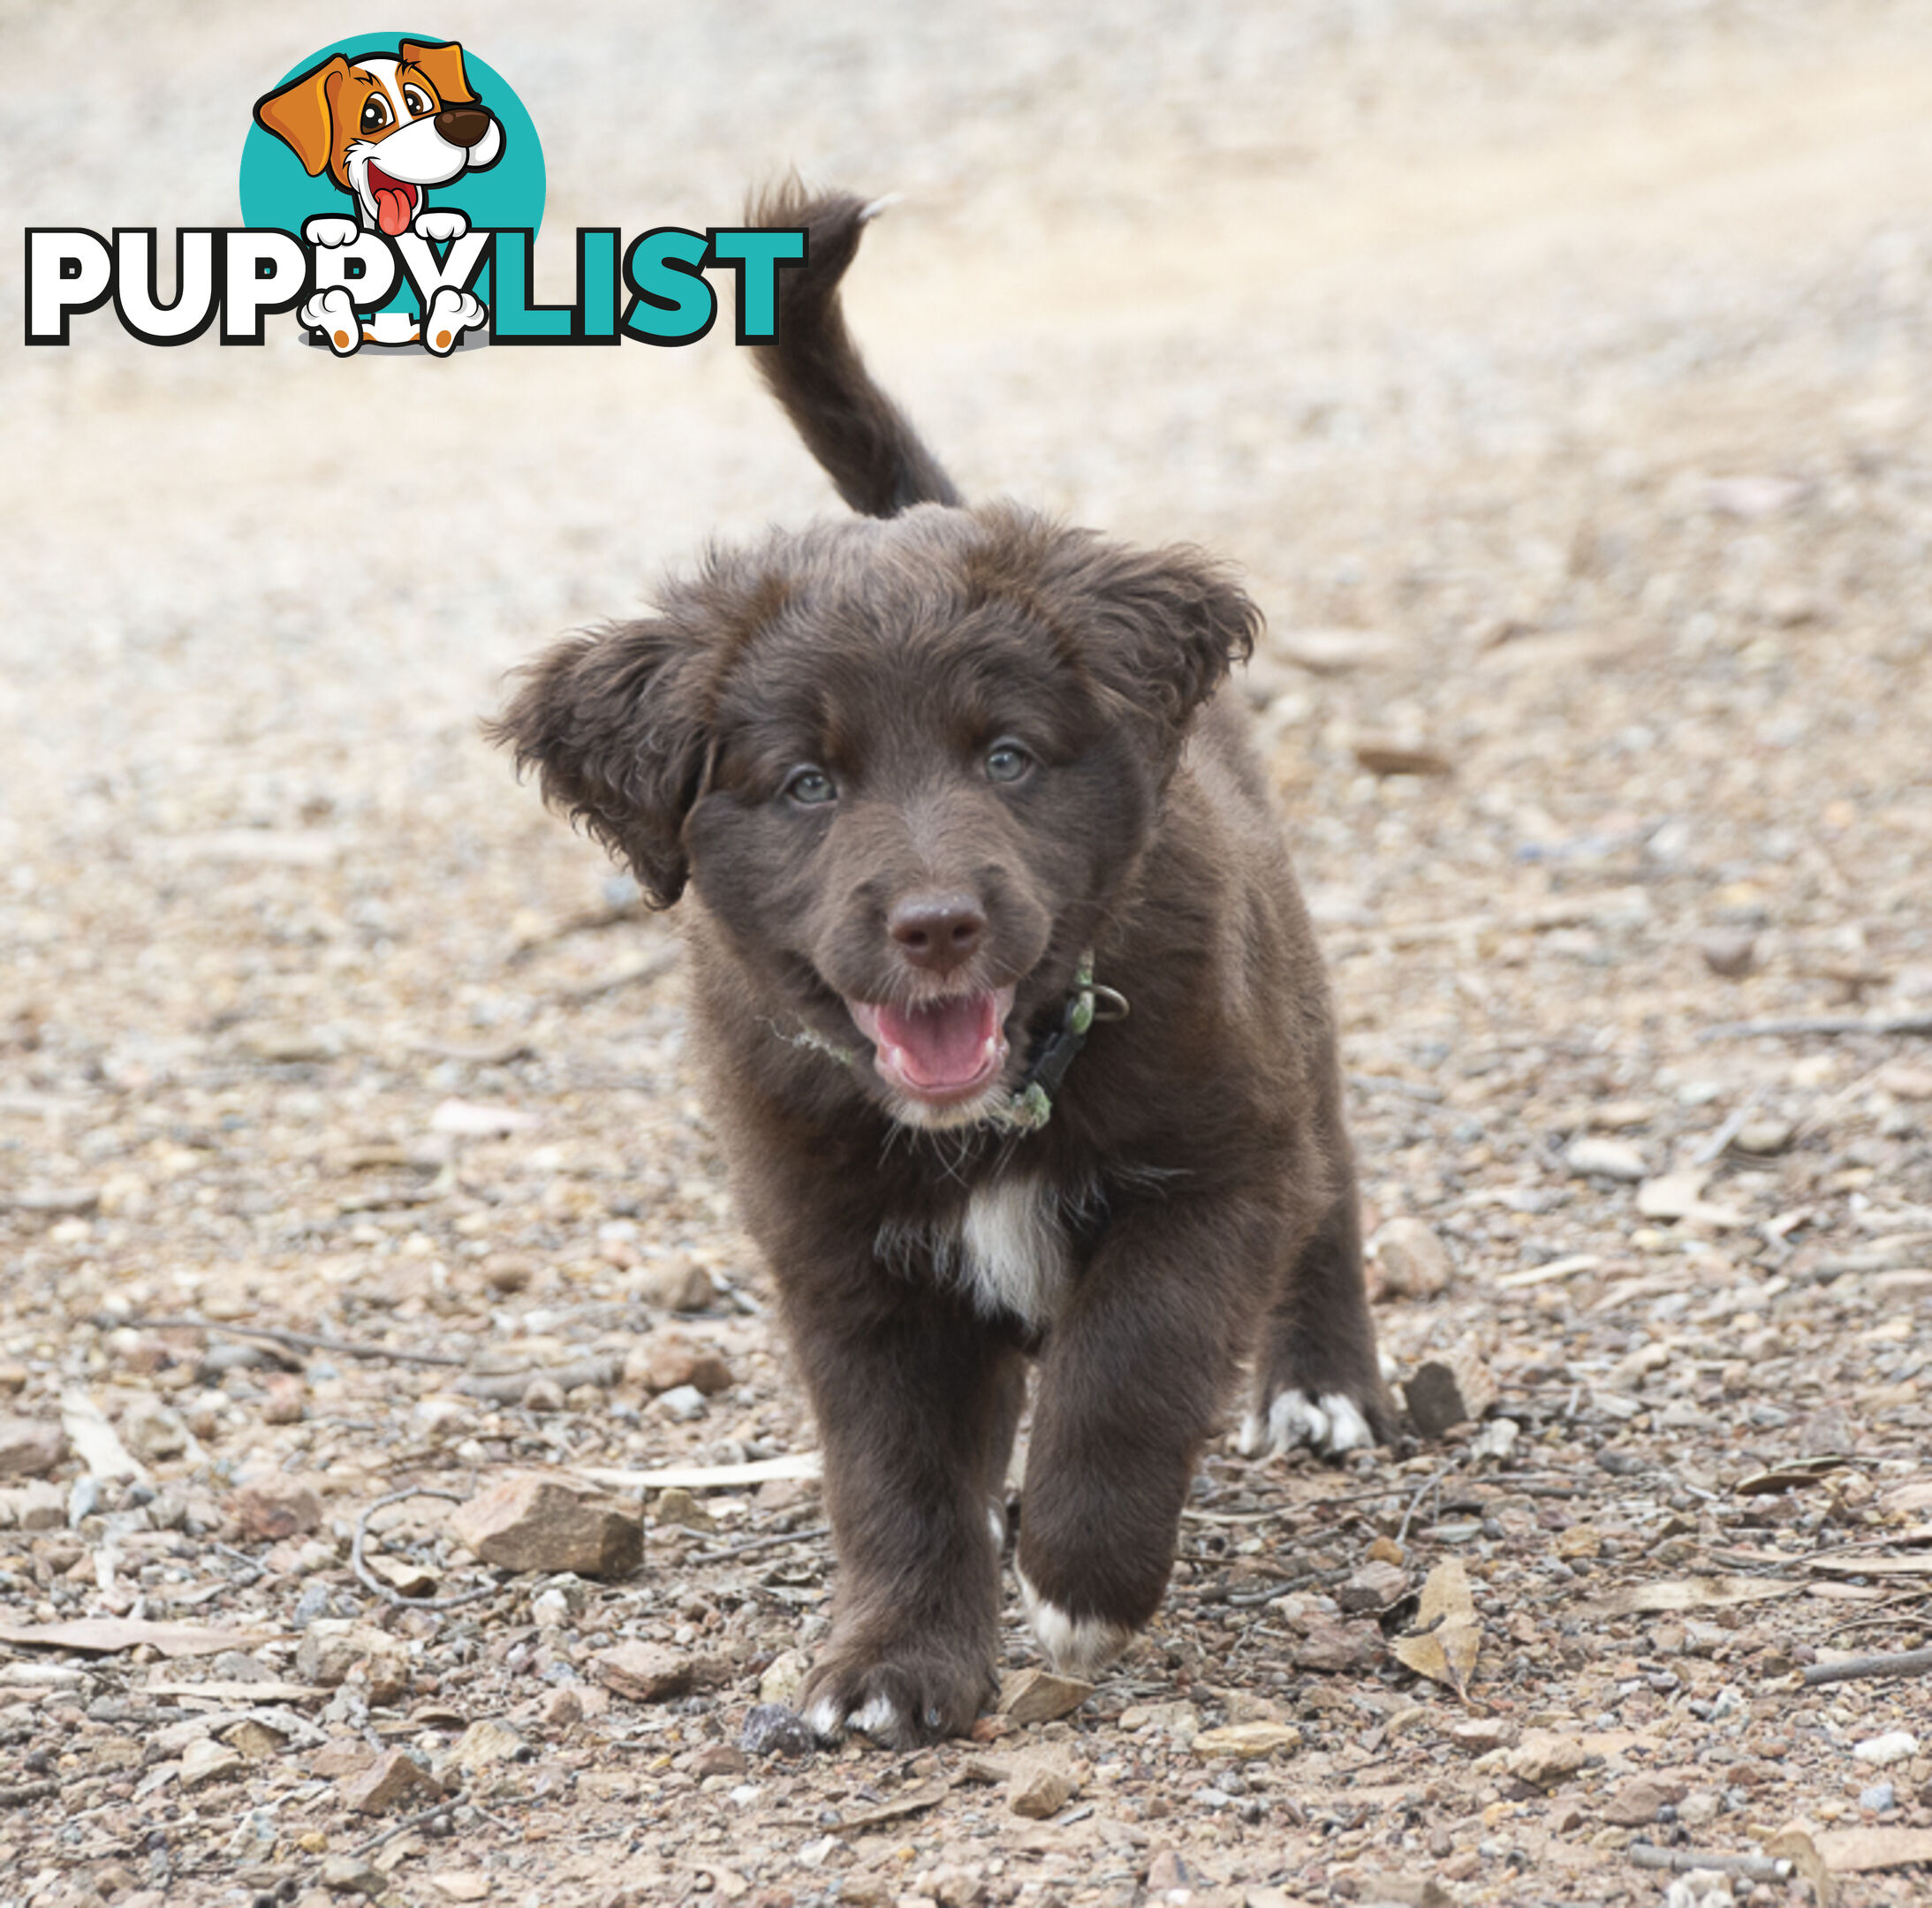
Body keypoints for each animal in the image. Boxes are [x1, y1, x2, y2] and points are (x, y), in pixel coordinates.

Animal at [490, 190, 1398, 1745]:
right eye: (806, 786)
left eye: (1007, 758)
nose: (933, 924)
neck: (994, 1108)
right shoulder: (840, 1258)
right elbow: (893, 1473)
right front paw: (894, 1664)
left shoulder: (1216, 1163)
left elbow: (1130, 1364)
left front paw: (1081, 1581)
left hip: (1291, 1015)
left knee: (1326, 1192)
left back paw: (1322, 1388)